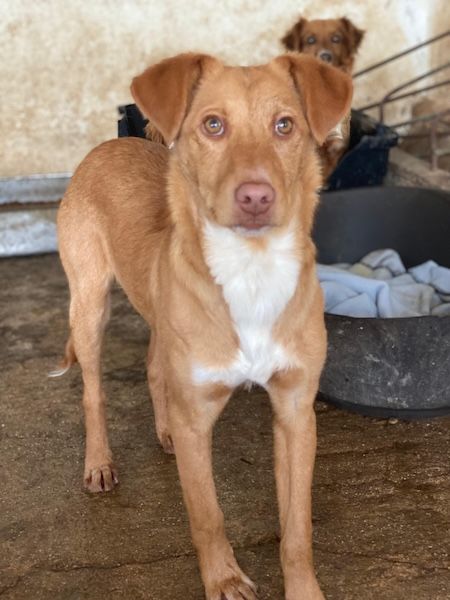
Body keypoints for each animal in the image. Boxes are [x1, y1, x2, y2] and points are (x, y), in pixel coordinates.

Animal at [54, 52, 352, 599]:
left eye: (285, 126)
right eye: (213, 125)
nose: (256, 196)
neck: (251, 272)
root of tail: (114, 142)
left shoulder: (296, 412)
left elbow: (297, 527)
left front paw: (303, 589)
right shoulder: (197, 420)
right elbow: (208, 516)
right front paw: (225, 580)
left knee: (154, 366)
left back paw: (162, 428)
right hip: (88, 303)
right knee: (93, 391)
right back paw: (99, 463)